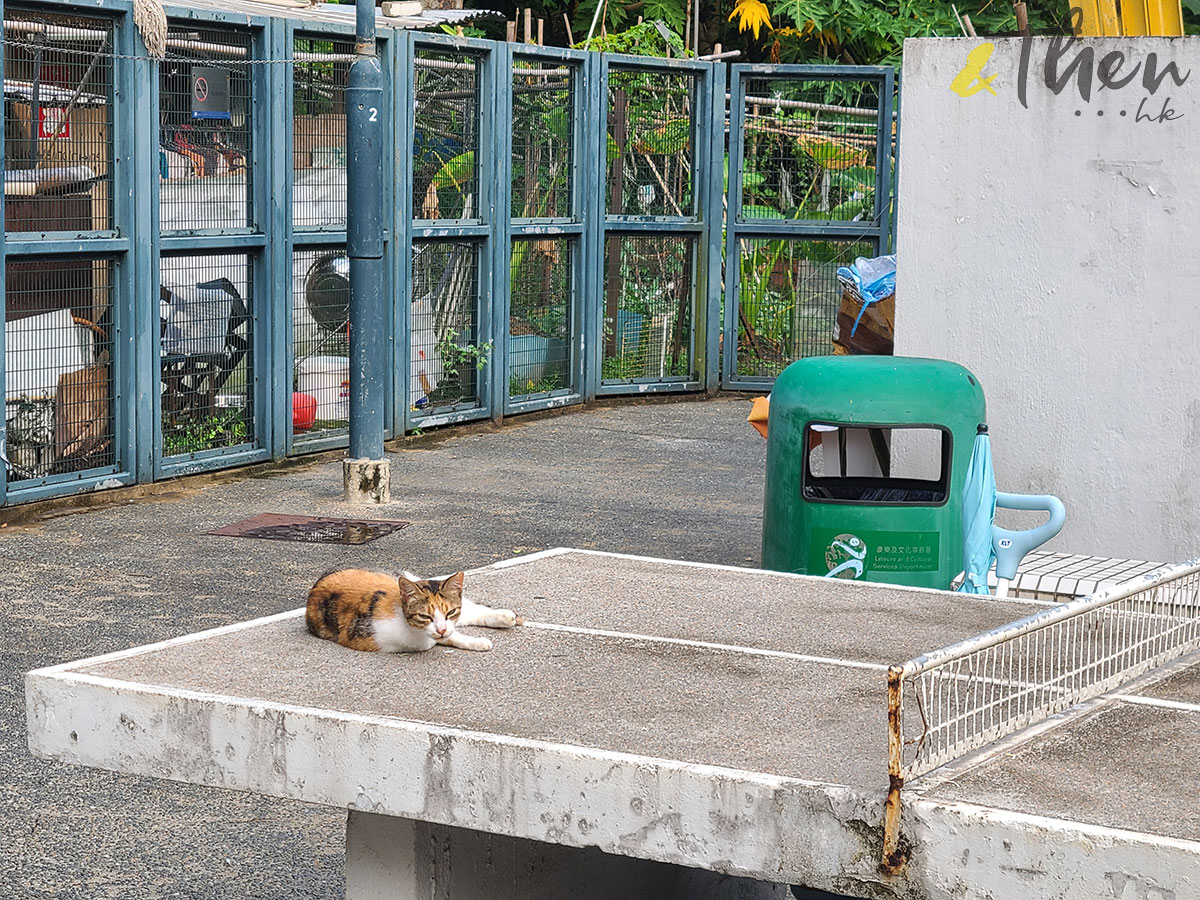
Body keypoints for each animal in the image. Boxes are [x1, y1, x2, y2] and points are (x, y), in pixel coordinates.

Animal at [304, 571, 520, 657]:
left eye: (450, 612)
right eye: (425, 616)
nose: (441, 629)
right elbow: (448, 637)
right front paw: (477, 642)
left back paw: (505, 616)